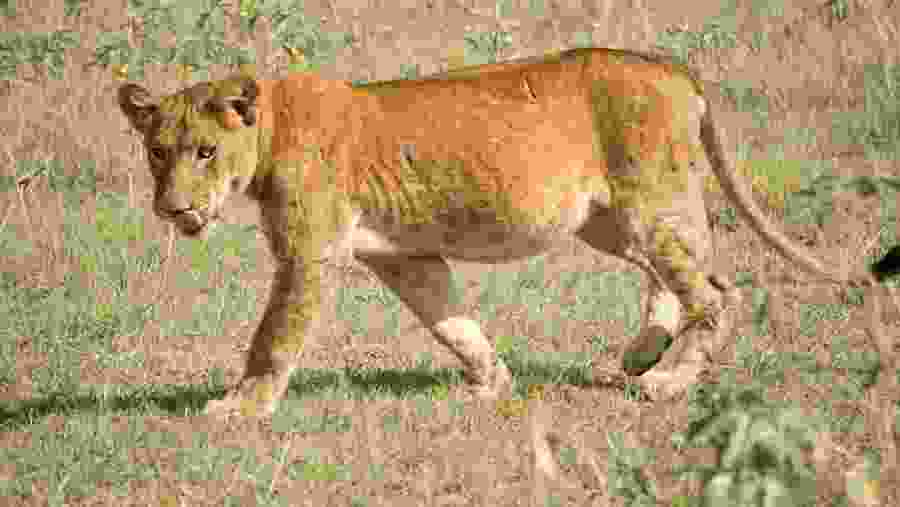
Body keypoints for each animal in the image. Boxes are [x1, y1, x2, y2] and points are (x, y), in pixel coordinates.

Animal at [118, 47, 885, 418]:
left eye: (204, 152)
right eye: (157, 151)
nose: (171, 207)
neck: (271, 126)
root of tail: (667, 64)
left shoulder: (308, 255)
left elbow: (273, 338)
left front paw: (239, 407)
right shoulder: (407, 257)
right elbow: (453, 323)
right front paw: (493, 384)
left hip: (648, 203)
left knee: (717, 290)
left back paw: (667, 382)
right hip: (612, 219)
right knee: (686, 278)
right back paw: (638, 355)